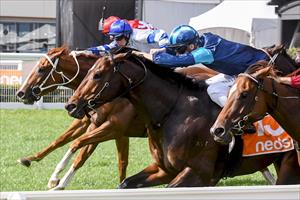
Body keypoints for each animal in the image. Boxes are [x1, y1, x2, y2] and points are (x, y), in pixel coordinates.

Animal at [15, 46, 217, 190]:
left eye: (42, 69)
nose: (21, 93)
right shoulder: (97, 125)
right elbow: (65, 142)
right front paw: (31, 160)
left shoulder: (113, 128)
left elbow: (79, 147)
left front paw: (58, 181)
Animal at [64, 50, 298, 188]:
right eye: (89, 72)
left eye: (97, 74)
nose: (71, 104)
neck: (174, 113)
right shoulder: (164, 170)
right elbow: (125, 184)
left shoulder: (198, 174)